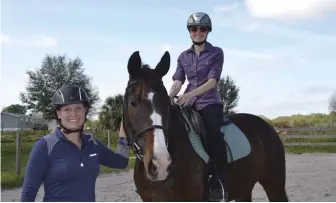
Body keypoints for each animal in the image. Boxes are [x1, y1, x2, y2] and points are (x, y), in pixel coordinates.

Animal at [122, 50, 290, 201]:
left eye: (166, 104)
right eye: (133, 103)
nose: (161, 163)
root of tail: (265, 125)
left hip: (274, 186)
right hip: (243, 189)